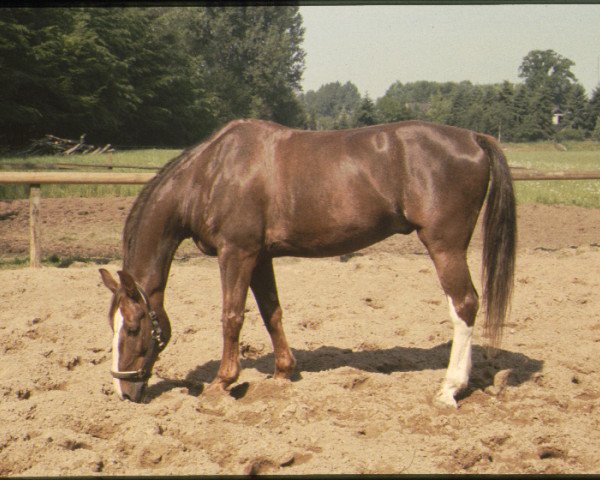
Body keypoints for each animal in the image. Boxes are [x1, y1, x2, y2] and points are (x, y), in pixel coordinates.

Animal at [98, 118, 516, 406]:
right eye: (113, 325)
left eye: (133, 328)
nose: (124, 390)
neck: (212, 173)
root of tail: (474, 138)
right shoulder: (260, 257)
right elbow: (272, 313)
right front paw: (283, 373)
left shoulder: (237, 253)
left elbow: (231, 316)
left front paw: (222, 382)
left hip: (445, 246)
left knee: (464, 305)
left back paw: (449, 390)